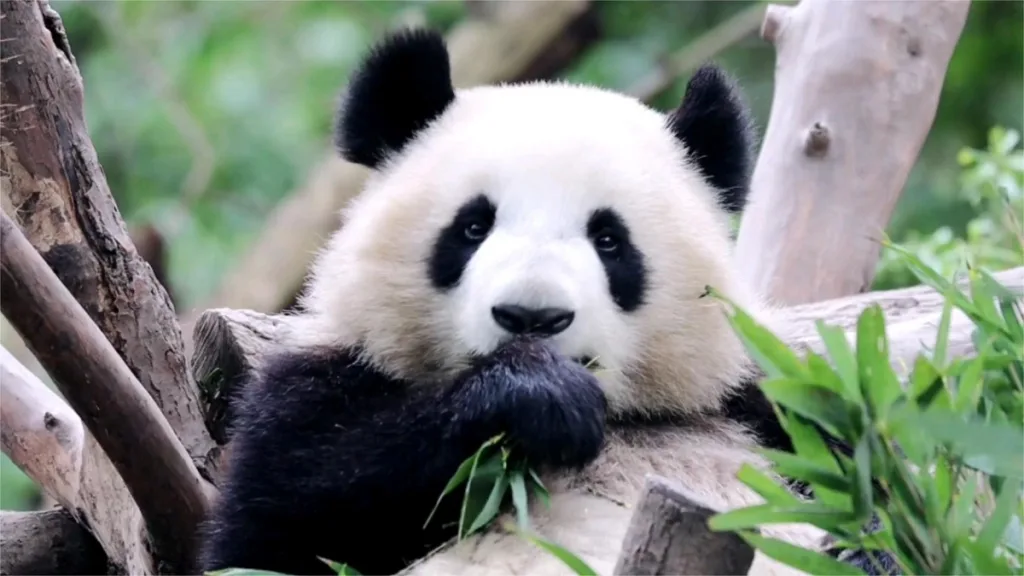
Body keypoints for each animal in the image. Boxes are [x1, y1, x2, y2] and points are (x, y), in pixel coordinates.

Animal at [197, 27, 895, 576]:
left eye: (610, 240)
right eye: (472, 227)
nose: (532, 318)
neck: (618, 420)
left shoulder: (760, 407)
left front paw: (867, 550)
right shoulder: (316, 391)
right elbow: (282, 521)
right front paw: (538, 397)